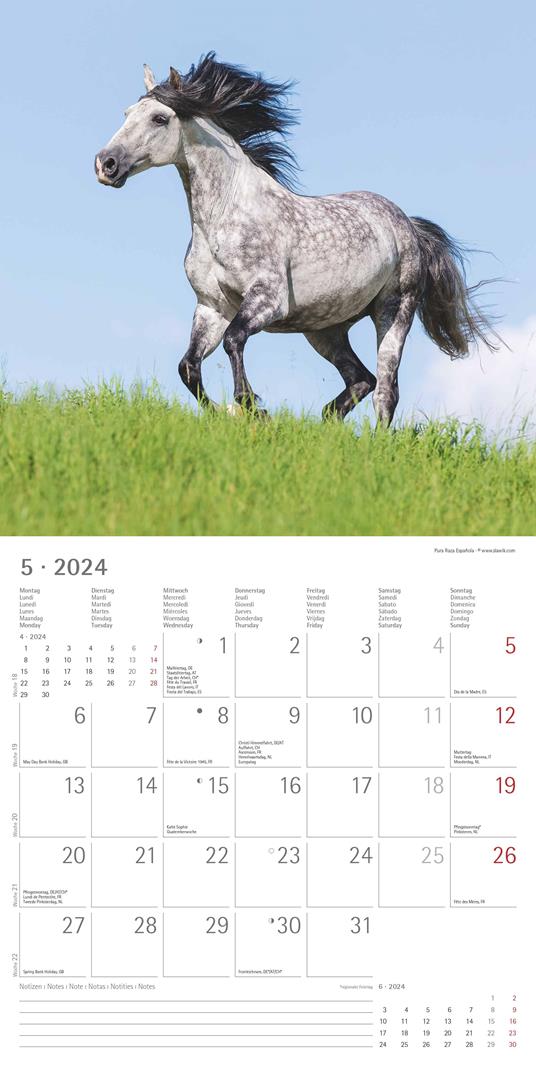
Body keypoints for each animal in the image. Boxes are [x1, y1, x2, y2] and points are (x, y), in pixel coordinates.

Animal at [95, 53, 498, 424]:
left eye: (159, 118)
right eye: (127, 113)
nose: (105, 164)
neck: (226, 215)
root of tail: (408, 225)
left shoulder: (266, 301)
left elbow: (233, 341)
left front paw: (250, 406)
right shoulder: (212, 307)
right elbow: (188, 366)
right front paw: (224, 413)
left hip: (394, 310)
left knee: (385, 389)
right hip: (326, 329)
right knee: (361, 379)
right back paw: (327, 421)